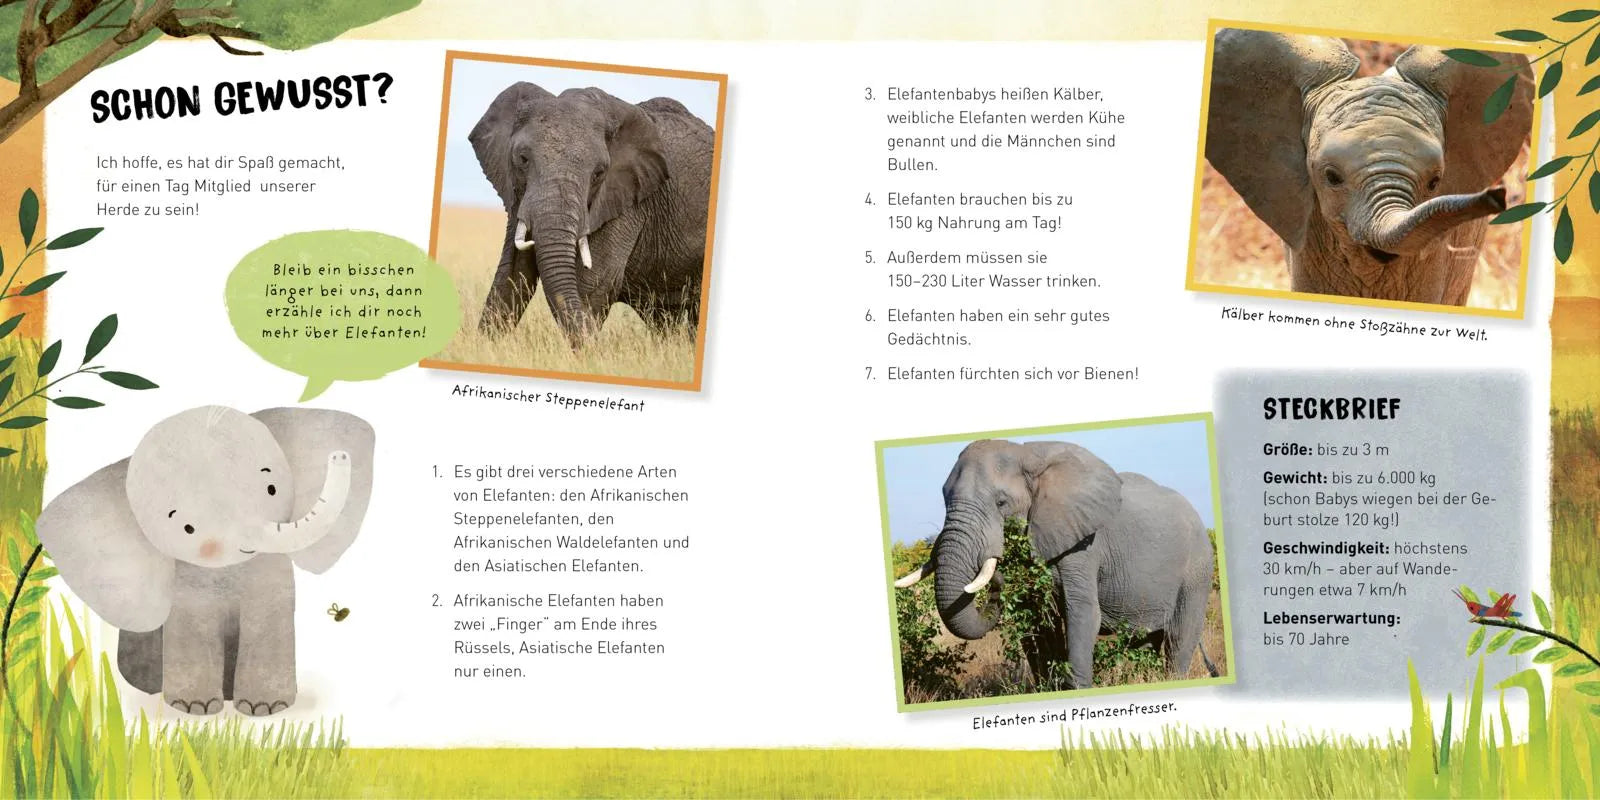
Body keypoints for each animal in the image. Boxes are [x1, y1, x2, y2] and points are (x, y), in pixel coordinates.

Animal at [35, 405, 374, 716]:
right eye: (187, 528)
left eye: (271, 488)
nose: (339, 457)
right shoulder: (186, 586)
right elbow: (194, 626)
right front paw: (194, 708)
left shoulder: (271, 573)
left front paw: (265, 708)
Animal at [469, 83, 714, 345]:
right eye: (522, 159)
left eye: (599, 173)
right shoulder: (516, 192)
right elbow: (511, 276)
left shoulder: (628, 204)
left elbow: (591, 284)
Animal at [894, 440, 1218, 689]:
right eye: (945, 499)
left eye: (1001, 503)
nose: (998, 573)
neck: (1027, 455)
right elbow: (1036, 622)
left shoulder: (1084, 544)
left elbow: (1082, 614)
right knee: (1148, 642)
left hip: (1198, 571)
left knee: (1178, 639)